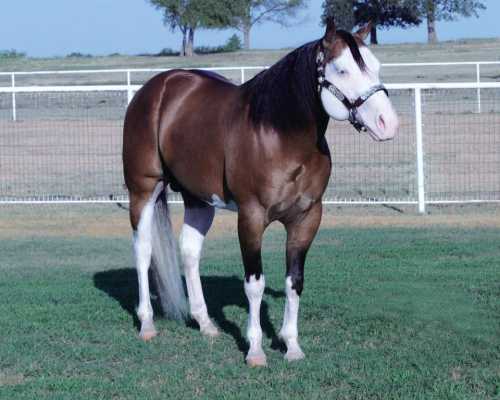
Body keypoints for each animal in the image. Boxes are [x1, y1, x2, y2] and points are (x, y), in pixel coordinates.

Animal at [122, 18, 398, 368]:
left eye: (375, 66)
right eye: (342, 70)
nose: (388, 123)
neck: (279, 134)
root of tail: (158, 87)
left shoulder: (307, 218)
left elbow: (295, 281)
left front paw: (291, 345)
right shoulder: (251, 217)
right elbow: (254, 284)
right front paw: (255, 350)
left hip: (199, 199)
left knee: (189, 251)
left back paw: (206, 323)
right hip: (143, 190)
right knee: (143, 251)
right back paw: (146, 324)